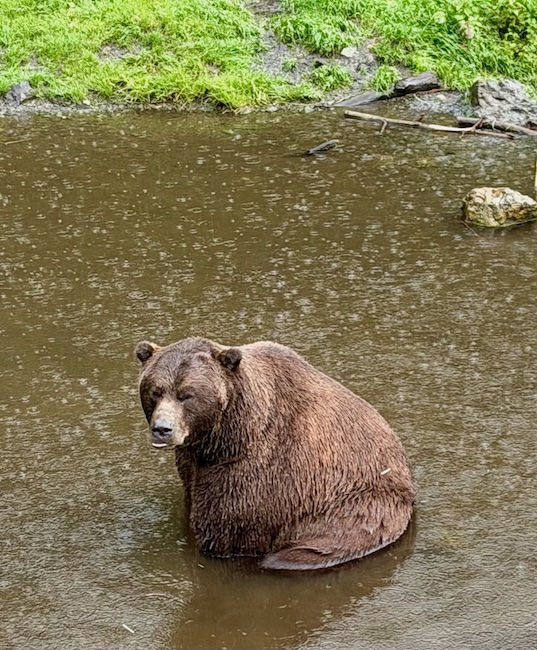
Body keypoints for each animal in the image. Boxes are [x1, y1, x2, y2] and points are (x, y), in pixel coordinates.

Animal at [135, 337, 415, 571]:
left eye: (187, 395)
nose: (163, 429)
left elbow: (225, 527)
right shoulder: (192, 463)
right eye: (155, 391)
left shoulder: (257, 474)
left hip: (355, 509)